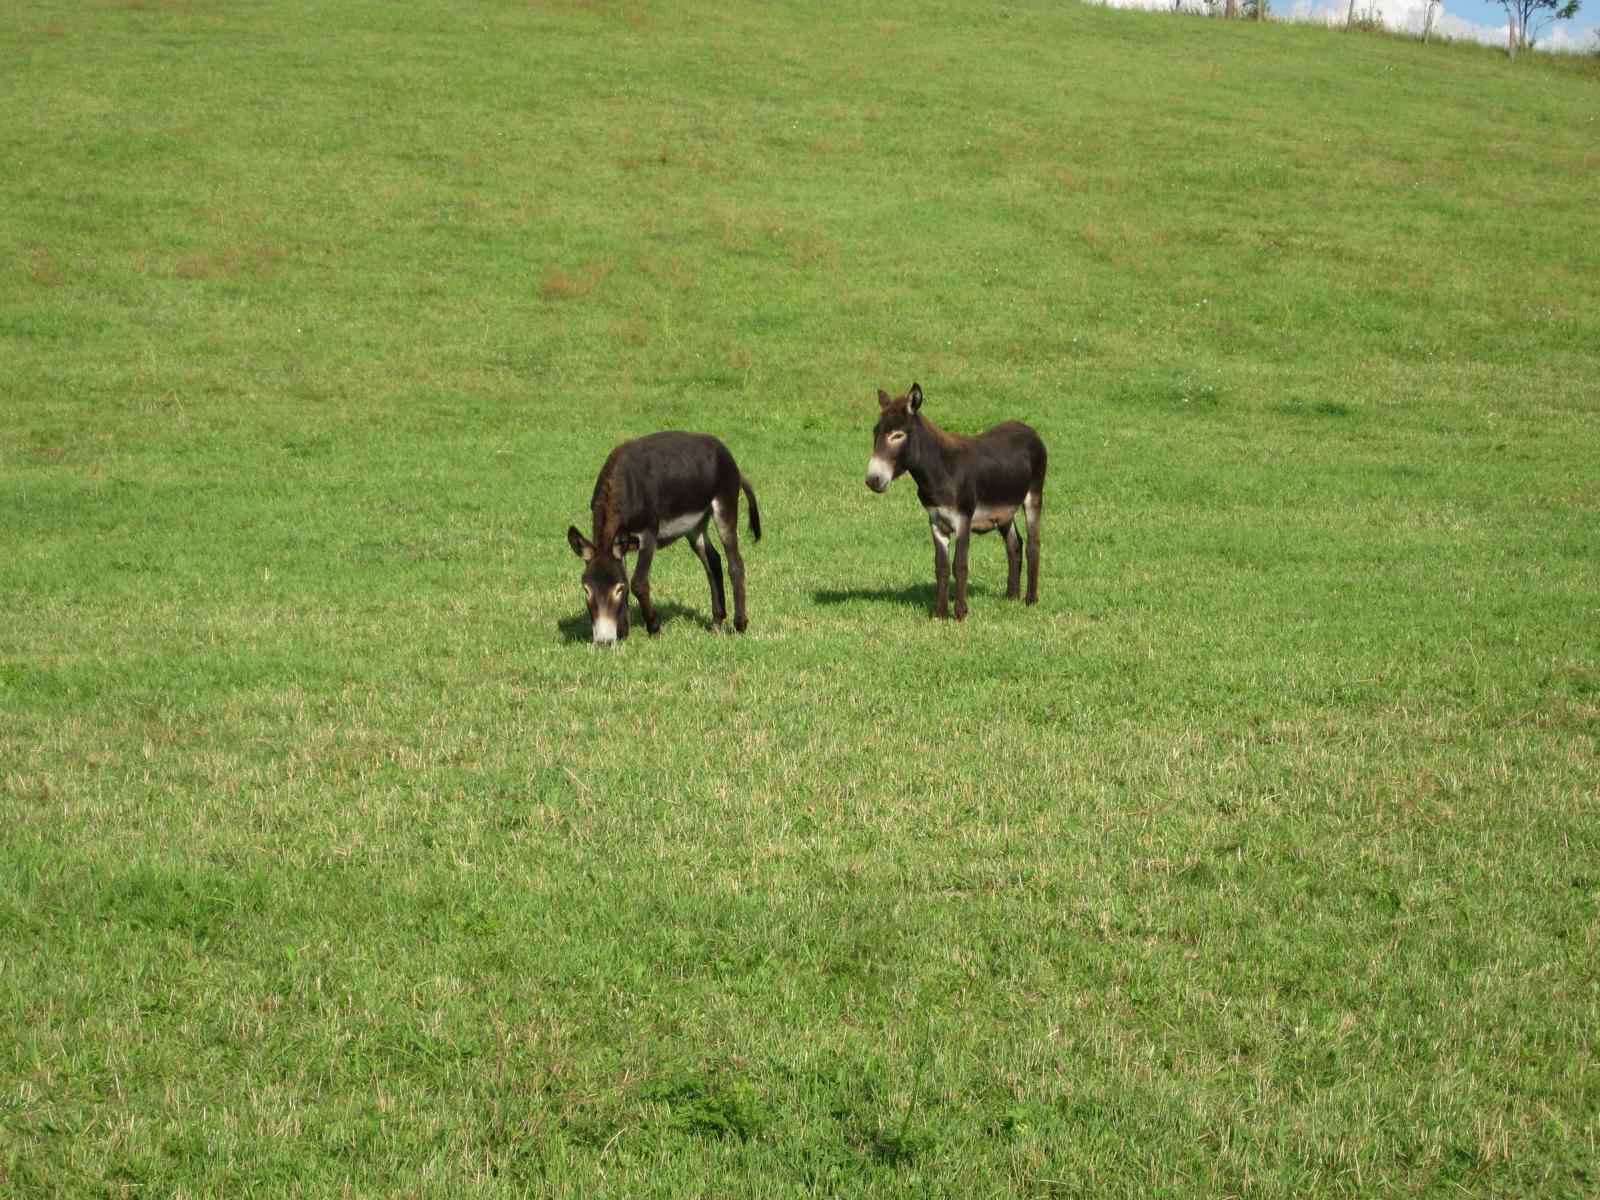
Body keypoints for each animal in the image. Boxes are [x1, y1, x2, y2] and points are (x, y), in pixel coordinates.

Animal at [567, 432, 760, 644]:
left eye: (616, 589)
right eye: (586, 589)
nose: (604, 641)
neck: (623, 484)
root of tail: (725, 451)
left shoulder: (648, 535)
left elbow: (638, 583)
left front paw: (654, 627)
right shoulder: (621, 545)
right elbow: (627, 578)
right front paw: (623, 631)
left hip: (725, 508)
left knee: (735, 564)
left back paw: (739, 625)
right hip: (695, 525)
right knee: (713, 562)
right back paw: (717, 622)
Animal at [865, 383, 1046, 620]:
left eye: (897, 435)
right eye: (876, 432)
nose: (872, 479)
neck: (941, 472)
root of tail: (1027, 429)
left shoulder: (963, 519)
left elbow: (960, 565)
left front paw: (961, 613)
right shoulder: (936, 521)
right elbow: (941, 567)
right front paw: (939, 613)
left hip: (1033, 496)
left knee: (1033, 545)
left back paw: (1031, 600)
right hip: (1004, 510)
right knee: (1014, 544)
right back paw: (1012, 596)